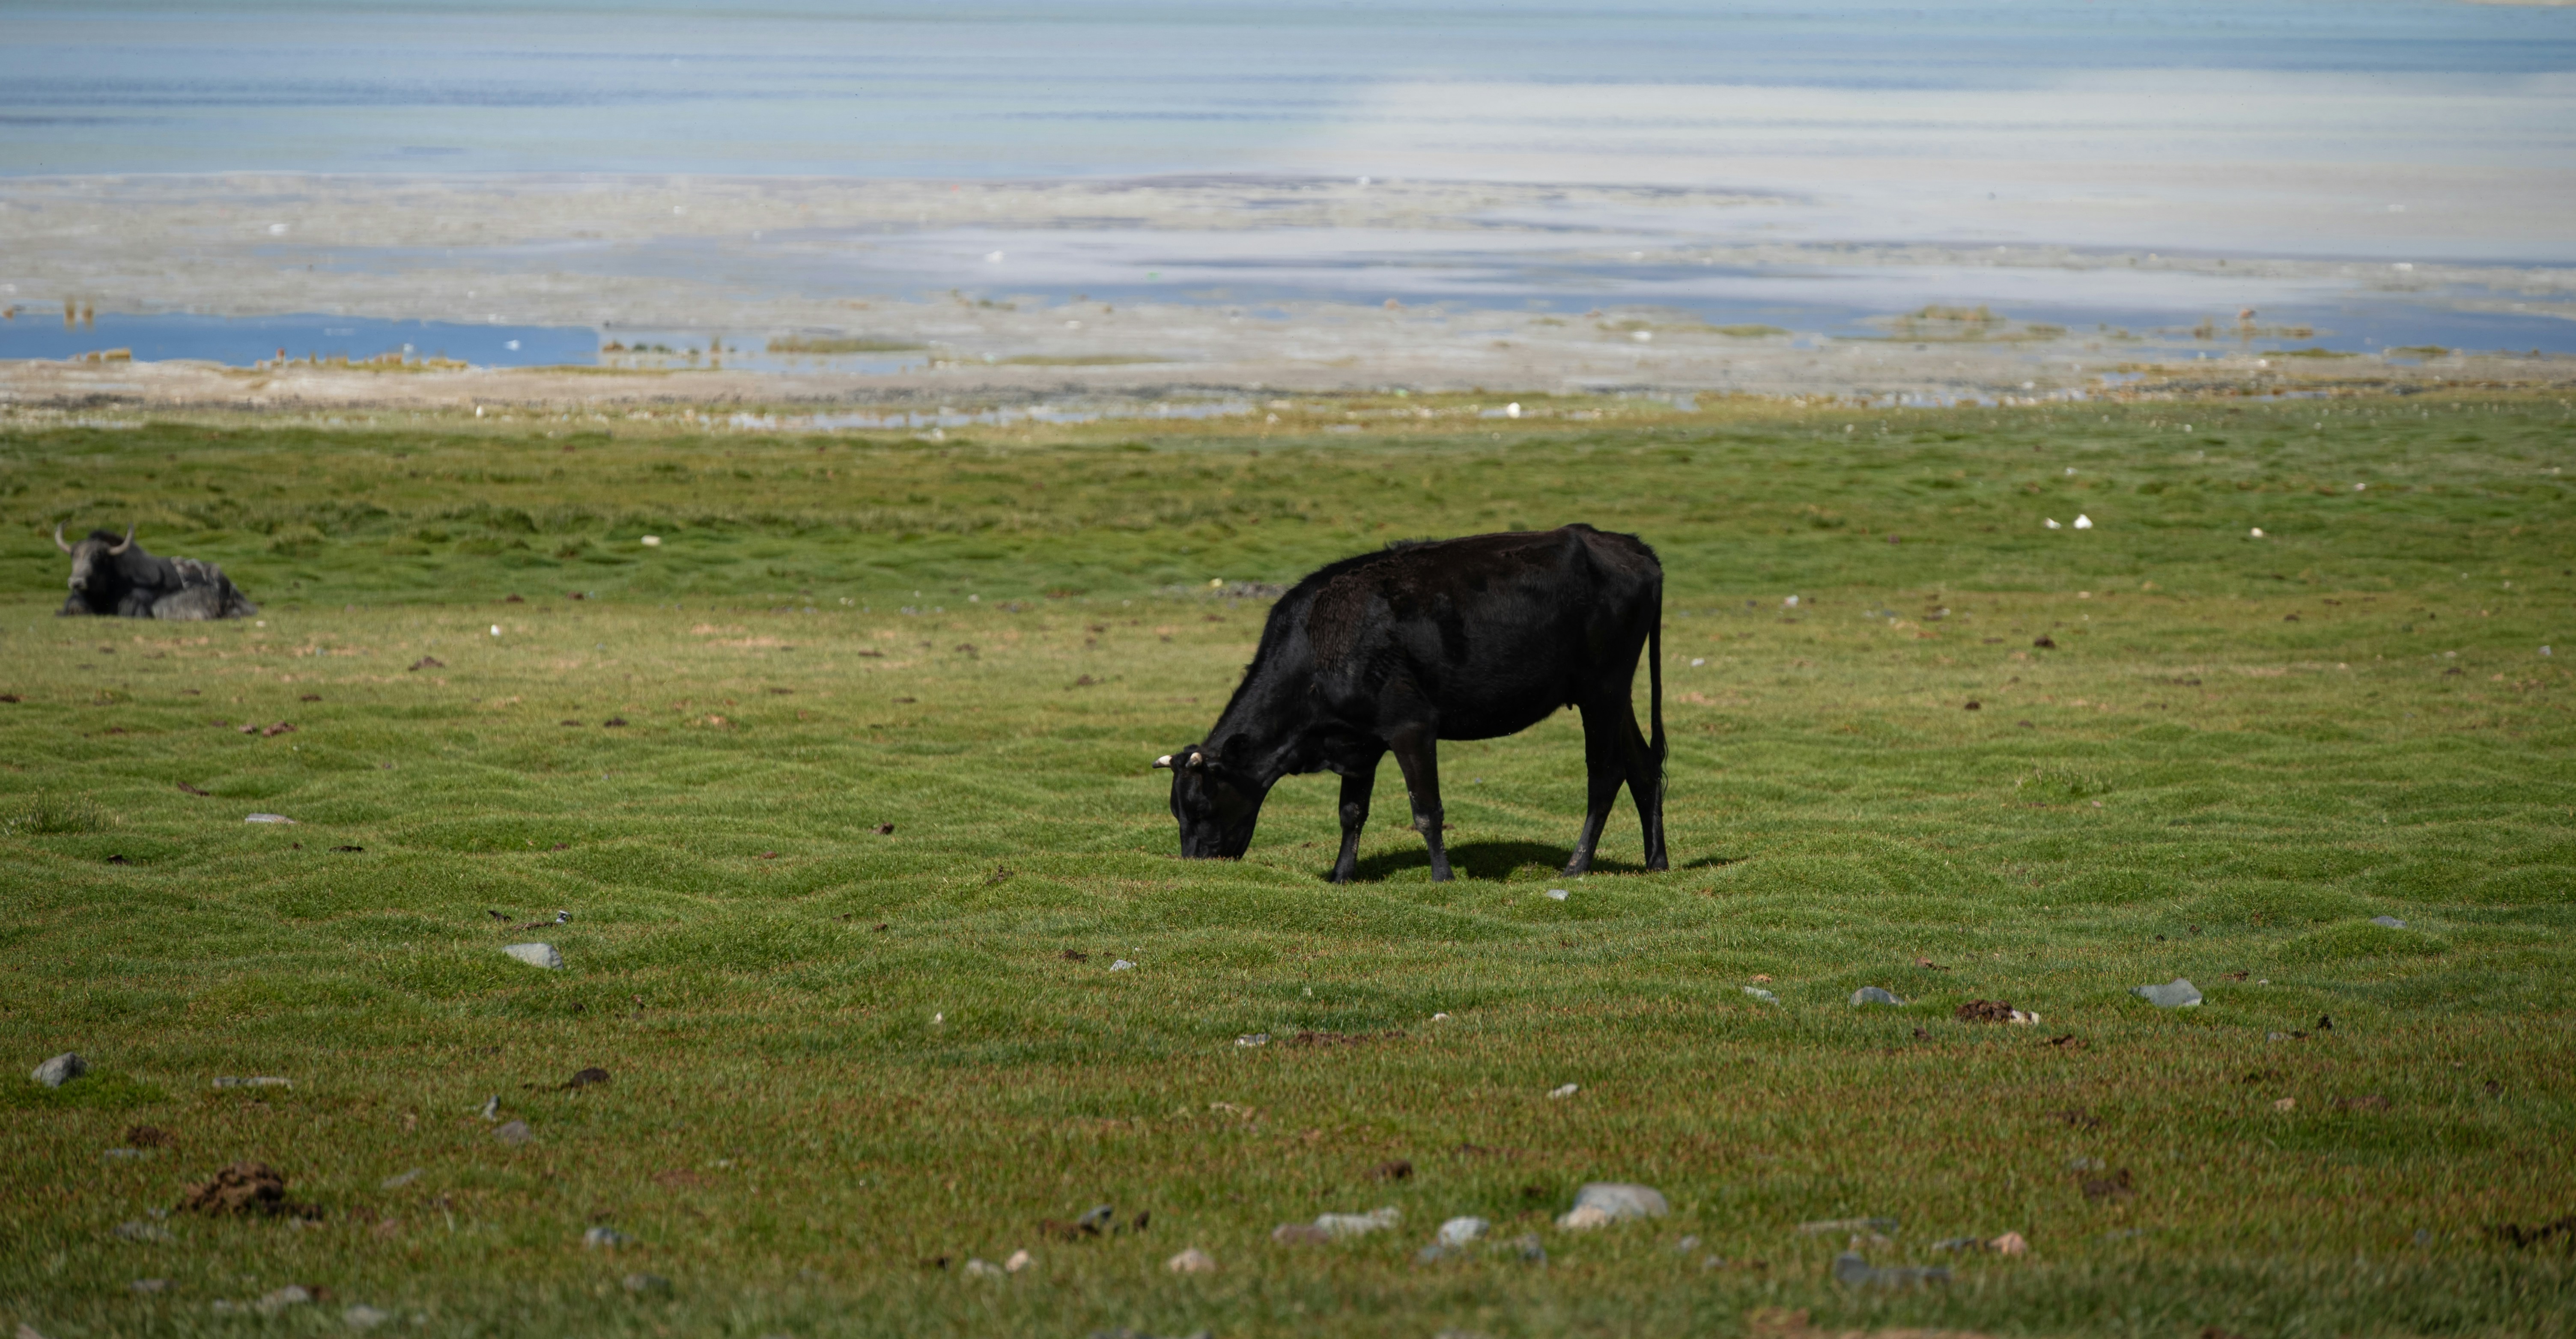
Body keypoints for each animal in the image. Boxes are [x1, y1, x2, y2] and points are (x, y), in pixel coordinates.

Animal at [1155, 524, 1666, 882]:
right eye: (1176, 811)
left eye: (1202, 805)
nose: (1196, 864)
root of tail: (1629, 546)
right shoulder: (1356, 740)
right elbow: (1351, 813)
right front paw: (1341, 876)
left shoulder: (1411, 725)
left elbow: (1427, 808)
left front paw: (1443, 877)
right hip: (1611, 693)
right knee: (1643, 765)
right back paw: (1656, 861)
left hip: (1602, 689)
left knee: (1605, 773)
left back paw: (1576, 866)